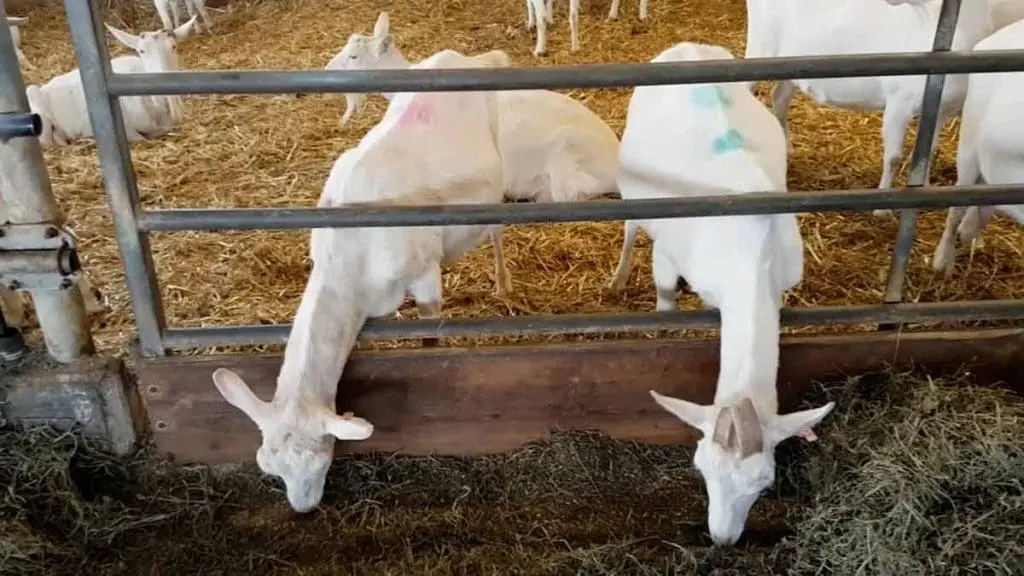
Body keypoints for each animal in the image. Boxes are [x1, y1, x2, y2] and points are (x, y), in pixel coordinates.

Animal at [212, 49, 509, 513]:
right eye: (268, 466)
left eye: (319, 458)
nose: (303, 510)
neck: (349, 255)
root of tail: (465, 57)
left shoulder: (424, 272)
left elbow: (430, 333)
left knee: (496, 228)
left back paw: (502, 282)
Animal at [607, 41, 833, 546]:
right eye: (700, 467)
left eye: (764, 482)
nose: (723, 539)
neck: (751, 251)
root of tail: (687, 48)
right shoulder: (669, 253)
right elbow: (664, 296)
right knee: (631, 227)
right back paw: (618, 276)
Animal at [745, 0, 994, 217]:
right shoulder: (898, 103)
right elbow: (893, 157)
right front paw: (882, 207)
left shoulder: (942, 110)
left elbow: (929, 151)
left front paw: (928, 187)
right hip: (761, 46)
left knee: (779, 96)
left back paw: (785, 145)